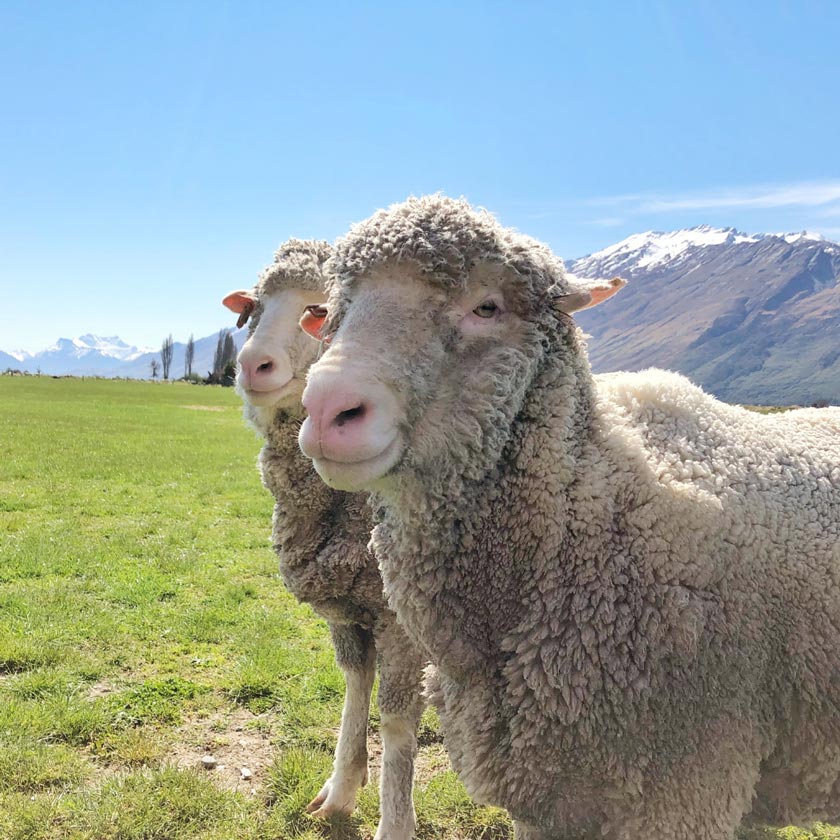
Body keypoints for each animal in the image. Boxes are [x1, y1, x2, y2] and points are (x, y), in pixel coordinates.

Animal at [221, 238, 424, 840]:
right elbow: (356, 684)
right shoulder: (348, 605)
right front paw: (340, 791)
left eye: (322, 310)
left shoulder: (398, 616)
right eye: (255, 306)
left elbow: (396, 717)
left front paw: (394, 822)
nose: (251, 364)